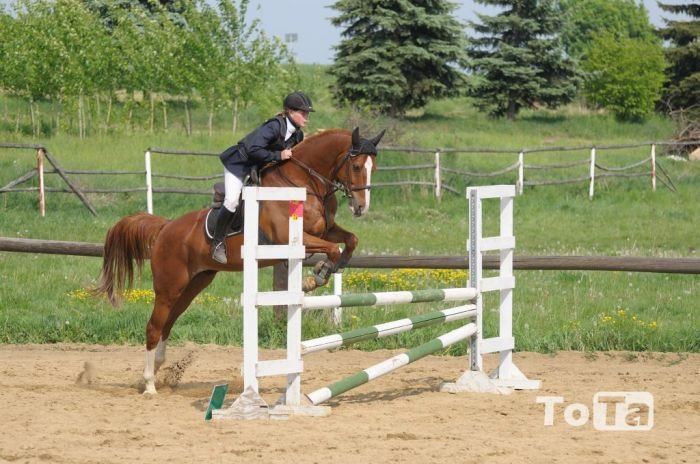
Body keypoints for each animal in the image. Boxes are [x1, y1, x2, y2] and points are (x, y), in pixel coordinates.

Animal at [91, 128, 388, 396]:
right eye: (357, 166)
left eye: (373, 168)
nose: (360, 207)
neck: (304, 182)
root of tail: (166, 227)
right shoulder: (291, 237)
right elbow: (333, 249)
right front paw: (315, 276)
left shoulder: (324, 231)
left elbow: (349, 241)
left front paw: (326, 269)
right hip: (169, 286)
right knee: (154, 327)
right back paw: (150, 385)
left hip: (195, 283)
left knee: (169, 321)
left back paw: (158, 369)